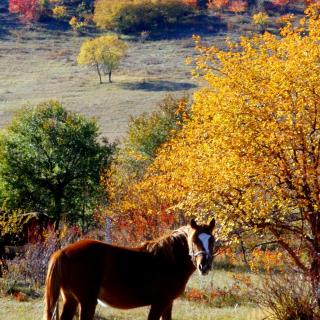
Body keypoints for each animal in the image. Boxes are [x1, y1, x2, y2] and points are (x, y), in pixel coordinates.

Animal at [43, 218, 216, 320]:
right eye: (194, 240)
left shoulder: (168, 303)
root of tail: (63, 251)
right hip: (87, 302)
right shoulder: (160, 303)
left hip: (71, 300)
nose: (204, 265)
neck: (168, 260)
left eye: (212, 240)